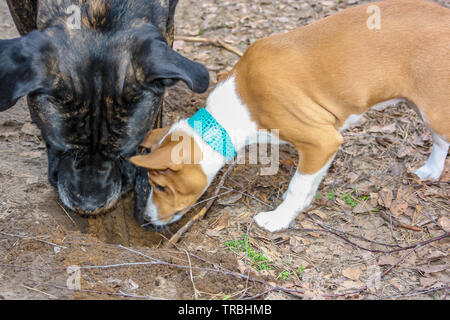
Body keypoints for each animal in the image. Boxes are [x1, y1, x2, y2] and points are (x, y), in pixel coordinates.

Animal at [129, 0, 446, 230]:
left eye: (159, 186)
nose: (146, 218)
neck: (237, 109)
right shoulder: (325, 145)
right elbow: (310, 182)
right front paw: (300, 207)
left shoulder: (321, 140)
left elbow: (298, 185)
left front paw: (279, 219)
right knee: (441, 142)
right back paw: (431, 172)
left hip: (436, 108)